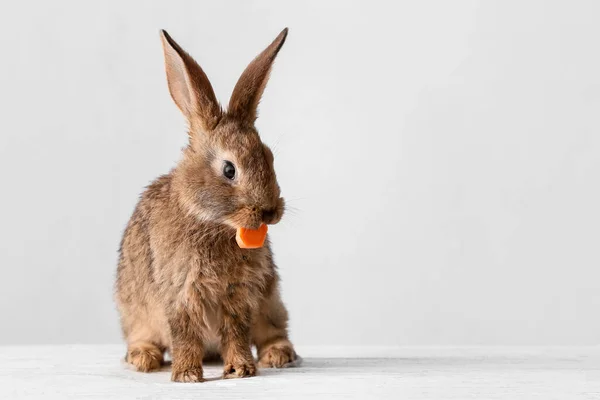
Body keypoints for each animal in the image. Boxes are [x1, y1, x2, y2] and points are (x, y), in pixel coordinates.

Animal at [113, 28, 296, 382]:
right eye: (229, 170)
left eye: (269, 158)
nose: (269, 212)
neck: (211, 223)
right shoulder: (179, 291)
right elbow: (184, 333)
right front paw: (186, 375)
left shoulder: (239, 294)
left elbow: (236, 332)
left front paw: (240, 370)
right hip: (136, 313)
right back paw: (143, 358)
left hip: (271, 303)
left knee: (271, 332)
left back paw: (279, 355)